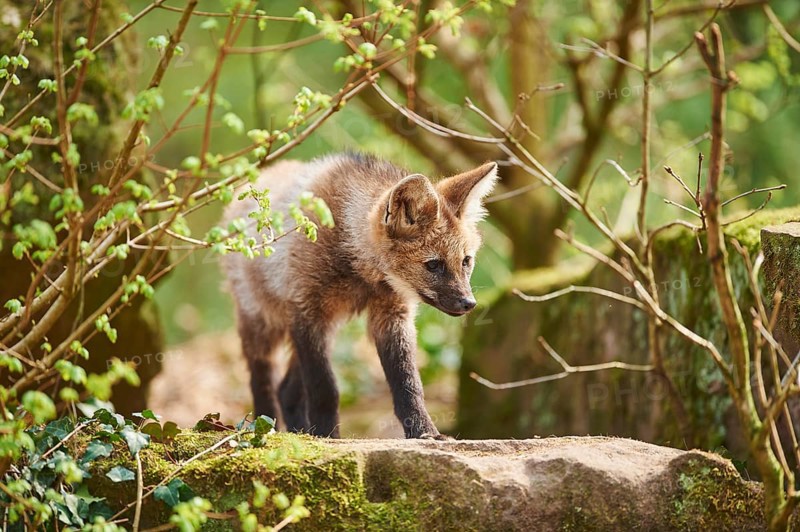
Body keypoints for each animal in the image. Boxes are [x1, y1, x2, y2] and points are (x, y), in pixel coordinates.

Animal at [222, 153, 498, 439]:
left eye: (466, 261)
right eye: (433, 265)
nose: (468, 303)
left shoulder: (391, 316)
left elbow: (409, 386)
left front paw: (425, 432)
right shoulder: (308, 311)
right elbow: (325, 389)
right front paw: (328, 437)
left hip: (323, 330)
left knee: (287, 391)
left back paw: (299, 433)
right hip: (266, 323)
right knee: (263, 380)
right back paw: (264, 427)